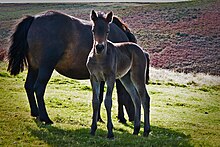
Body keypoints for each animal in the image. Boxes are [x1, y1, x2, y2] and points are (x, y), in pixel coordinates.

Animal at [87, 10, 150, 138]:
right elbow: (95, 101)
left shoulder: (110, 78)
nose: (99, 47)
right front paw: (93, 129)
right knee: (136, 98)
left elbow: (108, 101)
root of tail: (141, 50)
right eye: (93, 30)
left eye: (107, 31)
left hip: (137, 76)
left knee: (144, 98)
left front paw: (110, 132)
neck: (99, 58)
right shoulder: (94, 78)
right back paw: (136, 130)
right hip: (126, 78)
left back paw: (146, 130)